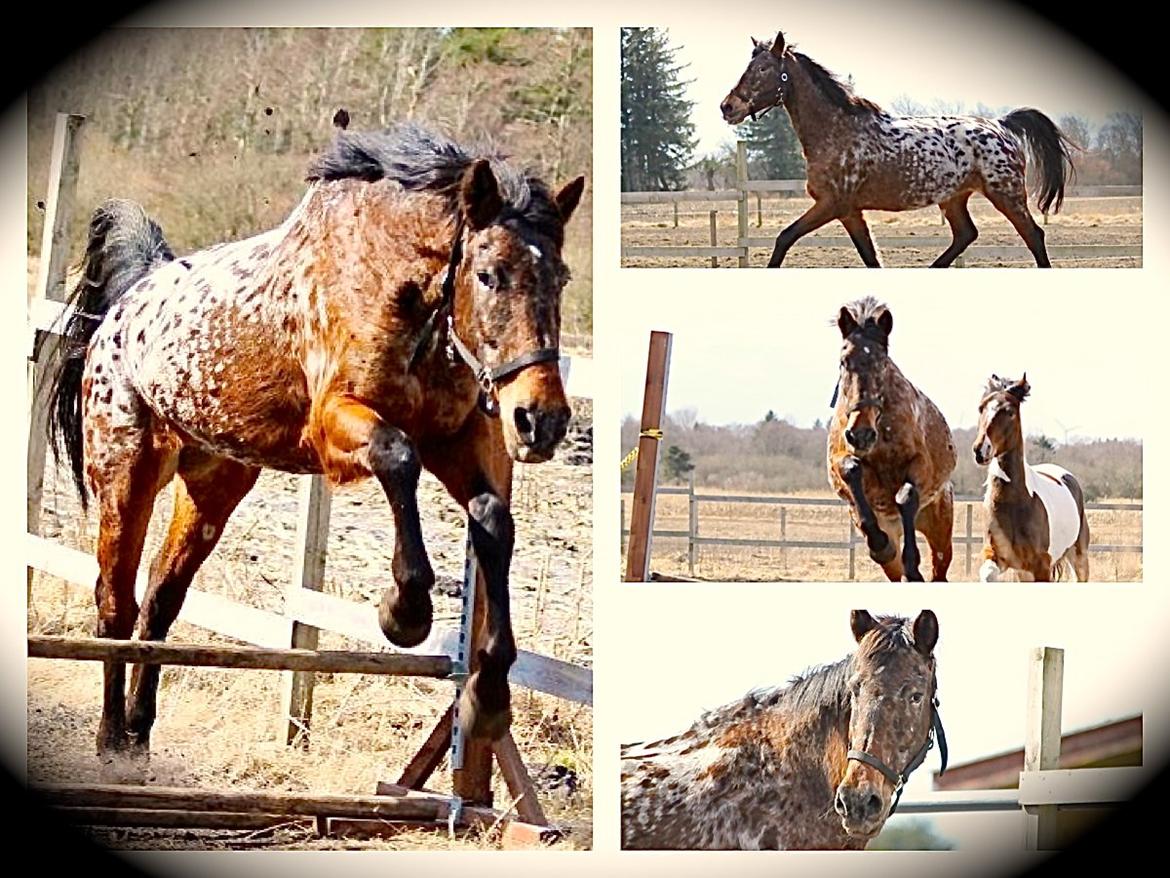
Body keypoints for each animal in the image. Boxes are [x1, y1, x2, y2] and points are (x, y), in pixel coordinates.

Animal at [50, 122, 589, 763]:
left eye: (560, 280)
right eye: (488, 275)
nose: (541, 421)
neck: (395, 288)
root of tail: (125, 308)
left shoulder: (454, 440)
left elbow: (491, 517)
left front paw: (488, 695)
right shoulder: (337, 423)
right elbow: (397, 457)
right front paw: (403, 612)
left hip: (215, 485)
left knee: (161, 597)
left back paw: (138, 734)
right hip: (126, 474)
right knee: (116, 599)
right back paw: (111, 737)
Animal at [716, 31, 1081, 266]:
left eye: (763, 69)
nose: (727, 107)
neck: (836, 131)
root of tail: (1001, 125)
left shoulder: (832, 204)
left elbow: (784, 238)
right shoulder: (849, 211)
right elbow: (870, 258)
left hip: (1006, 194)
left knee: (1034, 235)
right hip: (954, 198)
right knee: (966, 235)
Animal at [828, 299, 954, 580]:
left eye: (882, 362)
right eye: (844, 361)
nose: (861, 434)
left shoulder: (920, 464)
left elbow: (906, 495)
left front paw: (913, 564)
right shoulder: (839, 458)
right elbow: (851, 469)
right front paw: (879, 545)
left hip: (939, 527)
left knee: (939, 570)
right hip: (893, 540)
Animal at [973, 374, 1090, 580]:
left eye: (1009, 411)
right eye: (981, 407)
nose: (981, 450)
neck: (1014, 502)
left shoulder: (1041, 566)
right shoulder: (998, 556)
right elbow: (988, 574)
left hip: (1078, 557)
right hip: (1024, 572)